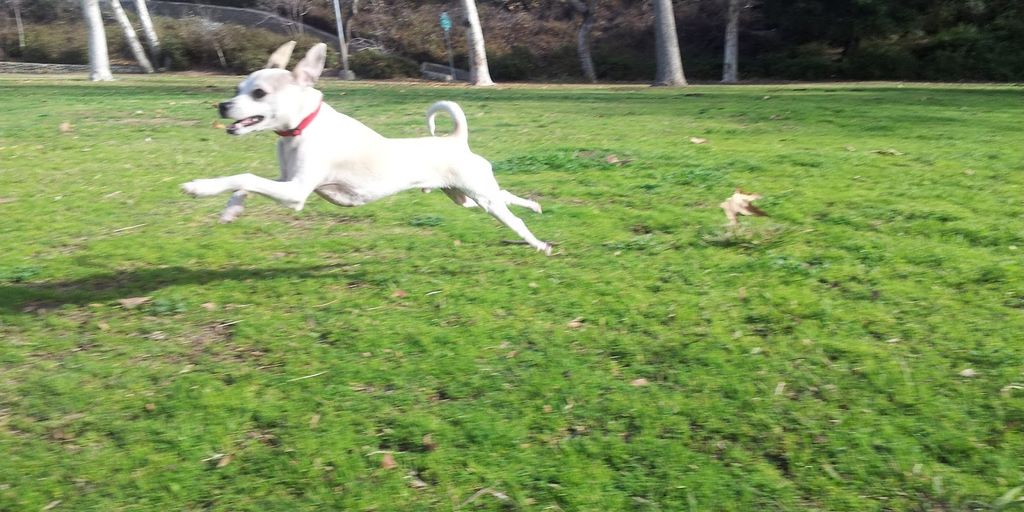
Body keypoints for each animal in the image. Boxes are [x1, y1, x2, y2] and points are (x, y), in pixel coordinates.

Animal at [184, 41, 552, 253]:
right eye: (238, 88)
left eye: (259, 93)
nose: (223, 106)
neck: (303, 129)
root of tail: (455, 139)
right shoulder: (286, 180)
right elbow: (246, 184)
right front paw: (231, 210)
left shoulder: (296, 192)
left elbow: (244, 176)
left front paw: (200, 187)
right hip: (465, 197)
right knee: (504, 195)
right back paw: (533, 205)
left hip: (479, 197)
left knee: (513, 219)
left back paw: (539, 243)